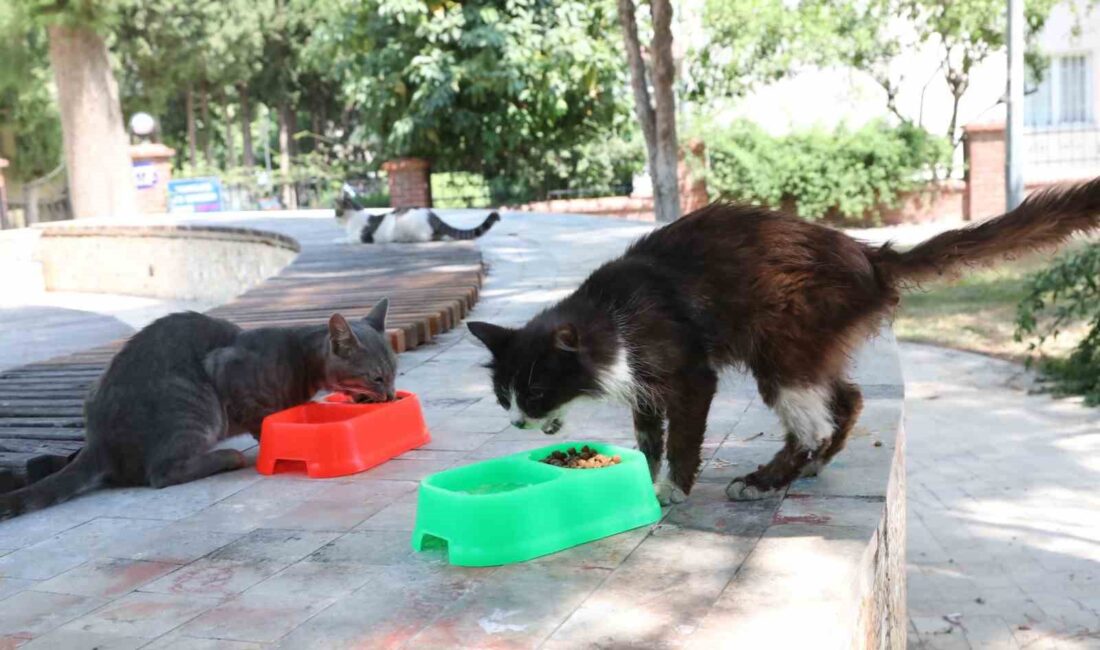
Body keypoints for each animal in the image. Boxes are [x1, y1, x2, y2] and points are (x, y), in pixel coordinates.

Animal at [0, 299, 396, 519]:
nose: (392, 396)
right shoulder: (229, 375)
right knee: (161, 473)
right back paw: (227, 457)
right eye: (377, 377)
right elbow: (263, 421)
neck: (299, 356)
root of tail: (98, 441)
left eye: (394, 373)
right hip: (194, 402)